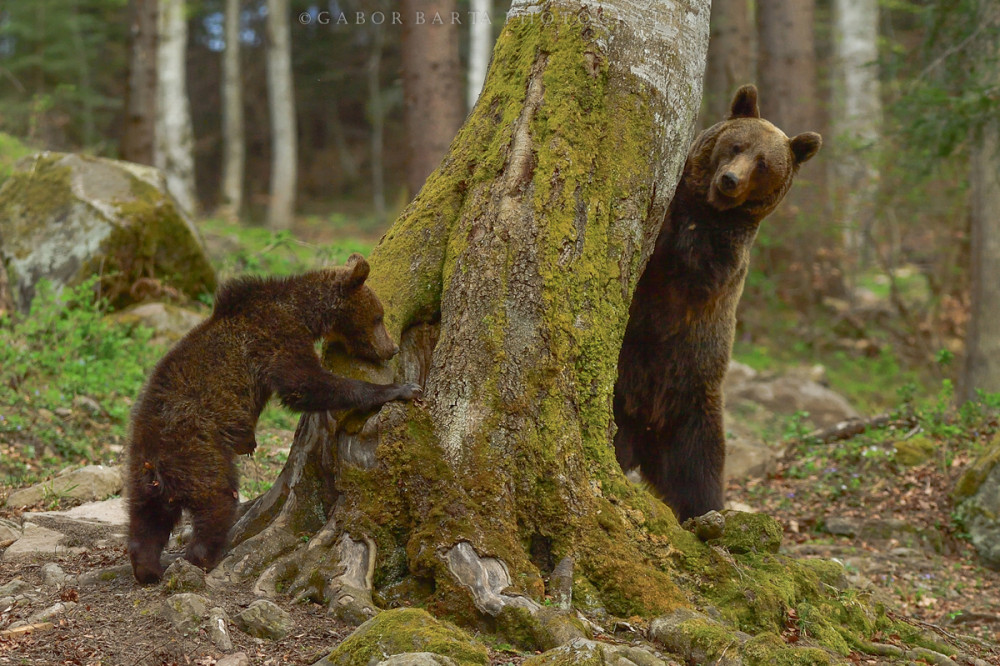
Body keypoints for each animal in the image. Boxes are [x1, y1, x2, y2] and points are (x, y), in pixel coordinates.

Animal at [128, 254, 418, 580]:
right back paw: (203, 556)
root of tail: (155, 459)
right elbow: (304, 385)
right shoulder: (275, 337)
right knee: (217, 500)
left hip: (142, 473)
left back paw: (147, 567)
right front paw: (399, 389)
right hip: (197, 449)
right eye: (379, 316)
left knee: (146, 518)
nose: (392, 348)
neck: (304, 314)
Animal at [616, 85, 820, 520]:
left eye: (763, 163)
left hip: (694, 400)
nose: (729, 180)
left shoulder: (727, 255)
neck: (709, 209)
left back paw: (707, 513)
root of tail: (647, 426)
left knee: (699, 468)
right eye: (736, 145)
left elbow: (697, 273)